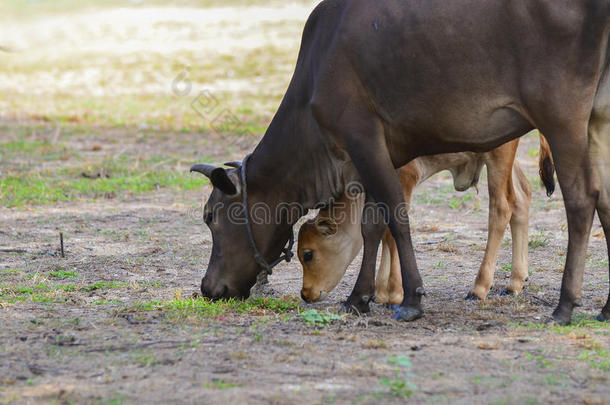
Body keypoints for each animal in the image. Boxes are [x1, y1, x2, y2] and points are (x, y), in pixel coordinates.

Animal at [296, 136, 552, 304]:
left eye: (308, 254)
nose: (305, 294)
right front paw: (381, 291)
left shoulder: (404, 181)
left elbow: (391, 232)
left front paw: (395, 293)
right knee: (522, 196)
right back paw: (515, 282)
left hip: (498, 156)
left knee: (502, 207)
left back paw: (479, 288)